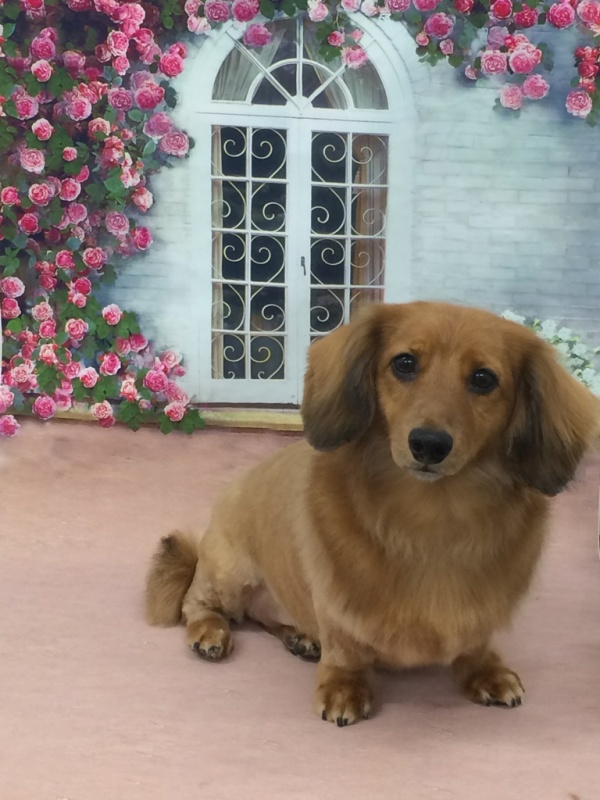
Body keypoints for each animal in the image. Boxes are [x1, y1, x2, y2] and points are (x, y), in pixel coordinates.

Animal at [145, 301, 599, 726]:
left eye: (484, 379)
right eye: (405, 363)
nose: (429, 444)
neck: (433, 519)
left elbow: (476, 643)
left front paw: (486, 670)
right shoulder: (335, 600)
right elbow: (344, 648)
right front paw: (344, 687)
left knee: (262, 616)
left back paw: (299, 637)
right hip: (229, 572)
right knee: (197, 603)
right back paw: (210, 631)